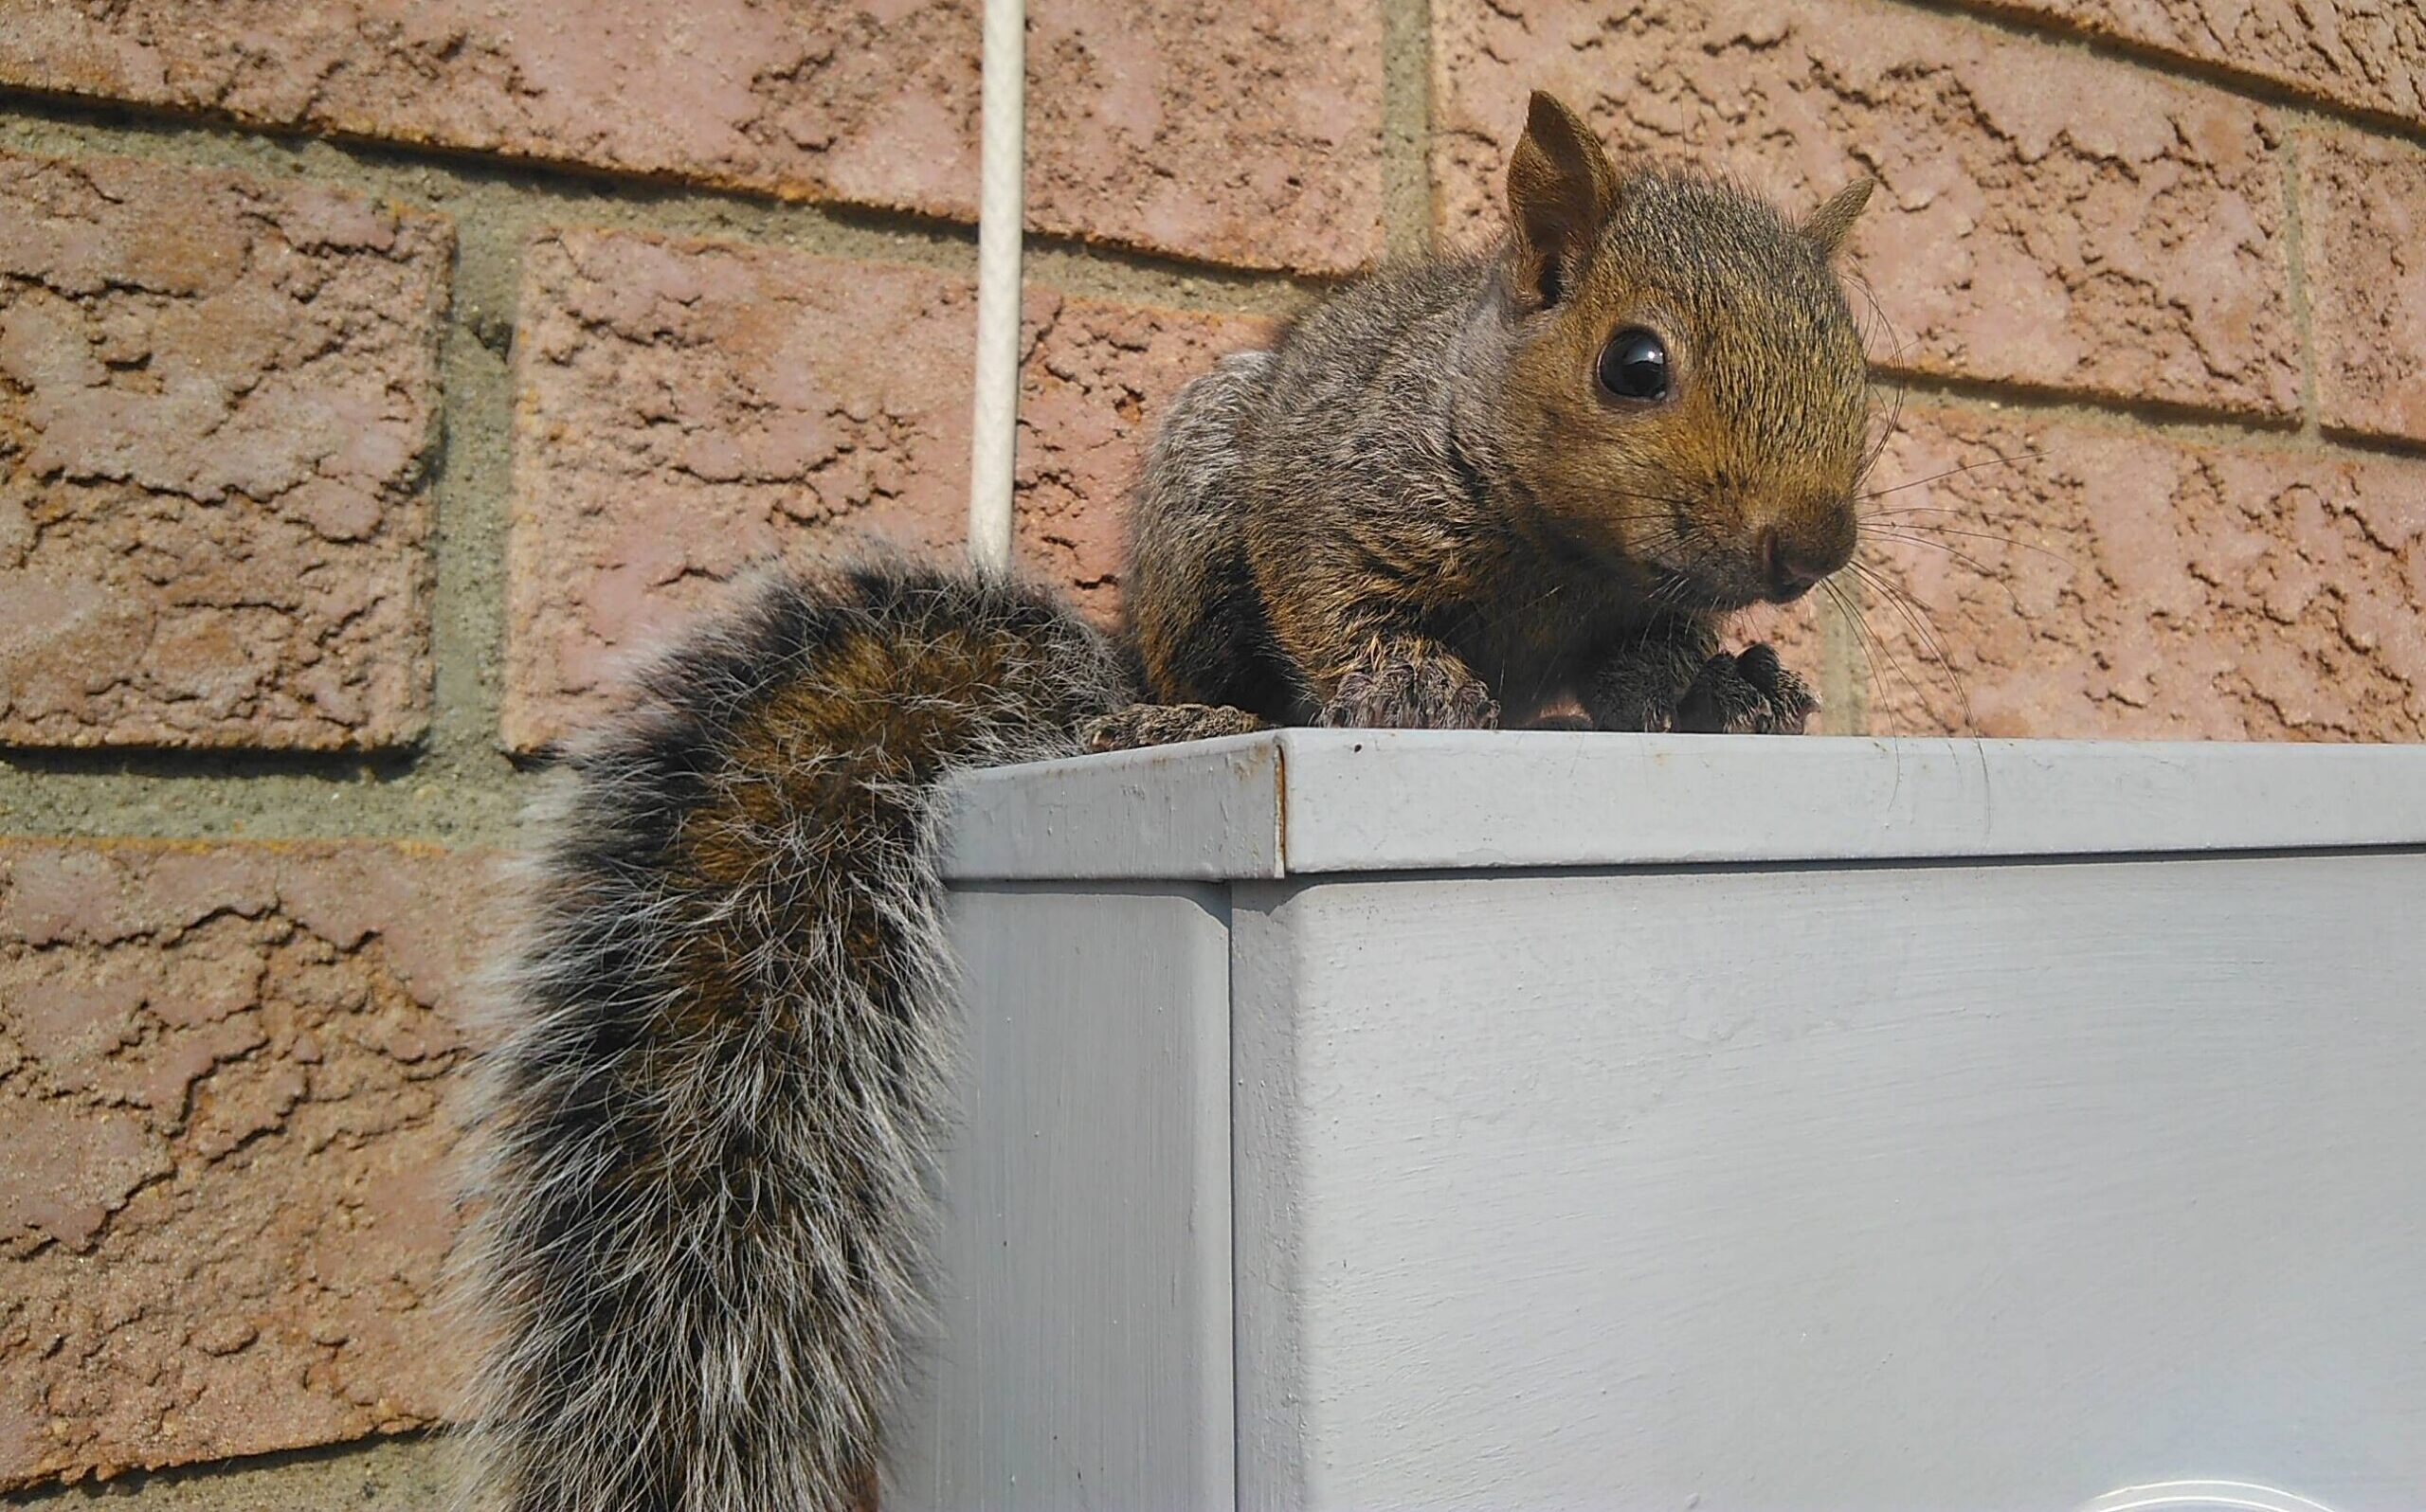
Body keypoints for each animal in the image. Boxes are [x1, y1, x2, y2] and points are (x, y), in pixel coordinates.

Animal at [458, 90, 1876, 1512]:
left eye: (1859, 365)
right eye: (1634, 365)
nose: (1814, 549)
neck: (1568, 560)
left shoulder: (1634, 619)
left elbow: (1656, 670)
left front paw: (1737, 690)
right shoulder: (1339, 494)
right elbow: (1330, 600)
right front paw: (1407, 678)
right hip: (1198, 520)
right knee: (1187, 675)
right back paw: (1168, 720)